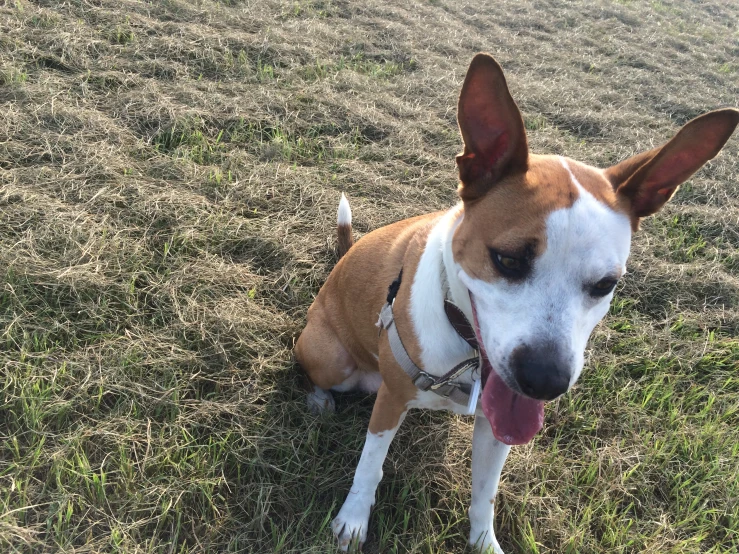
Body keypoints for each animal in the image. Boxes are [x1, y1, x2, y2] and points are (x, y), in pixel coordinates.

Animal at [294, 52, 739, 552]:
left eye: (606, 285)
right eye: (507, 260)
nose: (544, 381)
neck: (466, 349)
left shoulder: (498, 420)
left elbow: (484, 491)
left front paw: (483, 540)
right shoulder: (391, 401)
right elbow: (370, 467)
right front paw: (352, 521)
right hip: (331, 357)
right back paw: (319, 399)